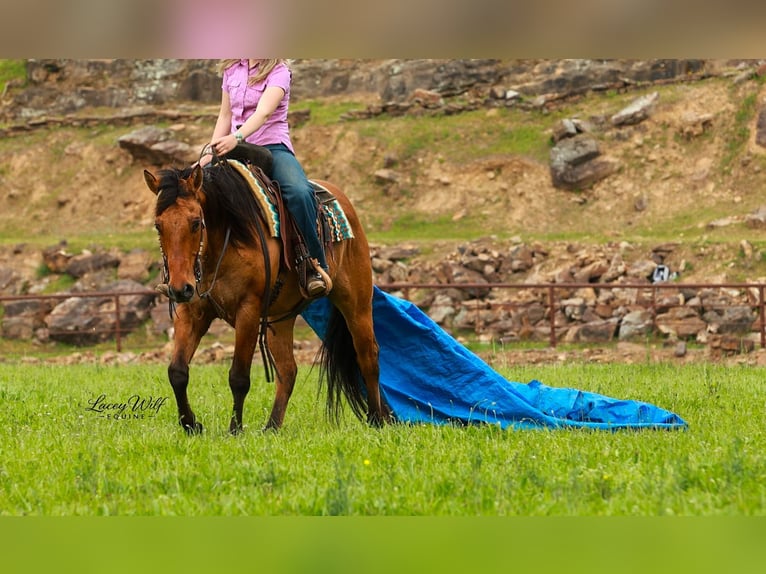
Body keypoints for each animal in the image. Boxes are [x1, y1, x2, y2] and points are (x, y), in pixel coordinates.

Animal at [143, 158, 390, 434]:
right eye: (158, 225)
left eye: (196, 222)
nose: (179, 288)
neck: (227, 238)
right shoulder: (191, 311)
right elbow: (177, 372)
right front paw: (191, 424)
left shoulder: (248, 310)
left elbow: (239, 376)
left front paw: (235, 429)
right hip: (279, 319)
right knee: (288, 370)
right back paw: (272, 426)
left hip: (356, 303)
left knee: (368, 356)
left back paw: (376, 419)